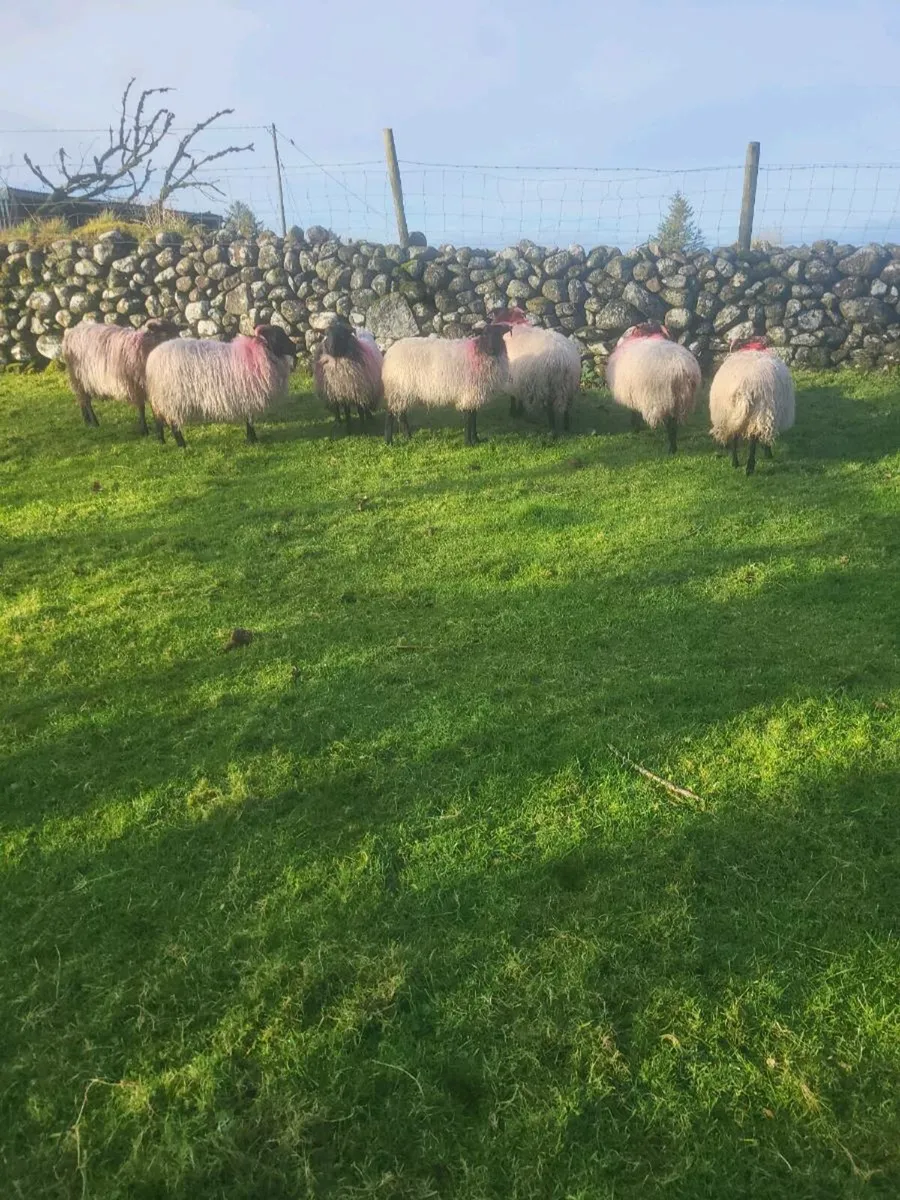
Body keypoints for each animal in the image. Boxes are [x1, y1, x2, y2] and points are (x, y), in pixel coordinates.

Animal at [145, 324, 296, 447]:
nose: (295, 347)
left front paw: (251, 438)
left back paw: (162, 441)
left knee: (158, 421)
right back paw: (182, 445)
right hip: (172, 398)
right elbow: (250, 420)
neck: (258, 354)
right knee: (174, 424)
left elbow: (249, 419)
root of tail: (152, 359)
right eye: (280, 336)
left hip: (161, 400)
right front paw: (252, 439)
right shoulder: (247, 396)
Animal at [492, 307, 581, 435]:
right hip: (569, 385)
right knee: (566, 409)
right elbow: (520, 397)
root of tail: (564, 357)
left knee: (550, 408)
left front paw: (513, 412)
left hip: (547, 382)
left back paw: (552, 431)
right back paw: (566, 427)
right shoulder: (521, 378)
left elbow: (513, 397)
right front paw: (520, 411)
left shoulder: (512, 379)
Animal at [605, 321, 701, 454]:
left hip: (663, 398)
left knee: (670, 424)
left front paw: (635, 427)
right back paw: (673, 447)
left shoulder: (632, 393)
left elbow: (634, 412)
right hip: (678, 399)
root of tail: (680, 369)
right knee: (674, 423)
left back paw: (671, 449)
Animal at [709, 335, 795, 475]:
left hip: (729, 412)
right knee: (752, 439)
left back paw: (735, 462)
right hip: (761, 411)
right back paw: (750, 466)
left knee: (735, 436)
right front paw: (767, 452)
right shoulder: (770, 417)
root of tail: (745, 387)